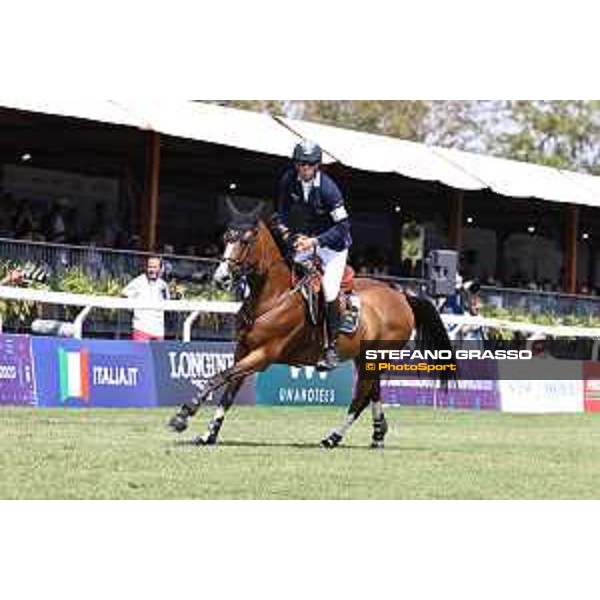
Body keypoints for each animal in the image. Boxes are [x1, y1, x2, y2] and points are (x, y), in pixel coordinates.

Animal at [166, 206, 452, 446]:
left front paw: (183, 415)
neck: (273, 296)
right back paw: (376, 435)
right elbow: (228, 391)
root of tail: (401, 295)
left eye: (245, 241)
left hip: (377, 357)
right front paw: (209, 434)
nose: (221, 279)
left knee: (360, 397)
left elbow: (219, 377)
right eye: (226, 239)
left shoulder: (263, 355)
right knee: (373, 393)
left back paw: (334, 437)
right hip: (365, 358)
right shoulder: (243, 351)